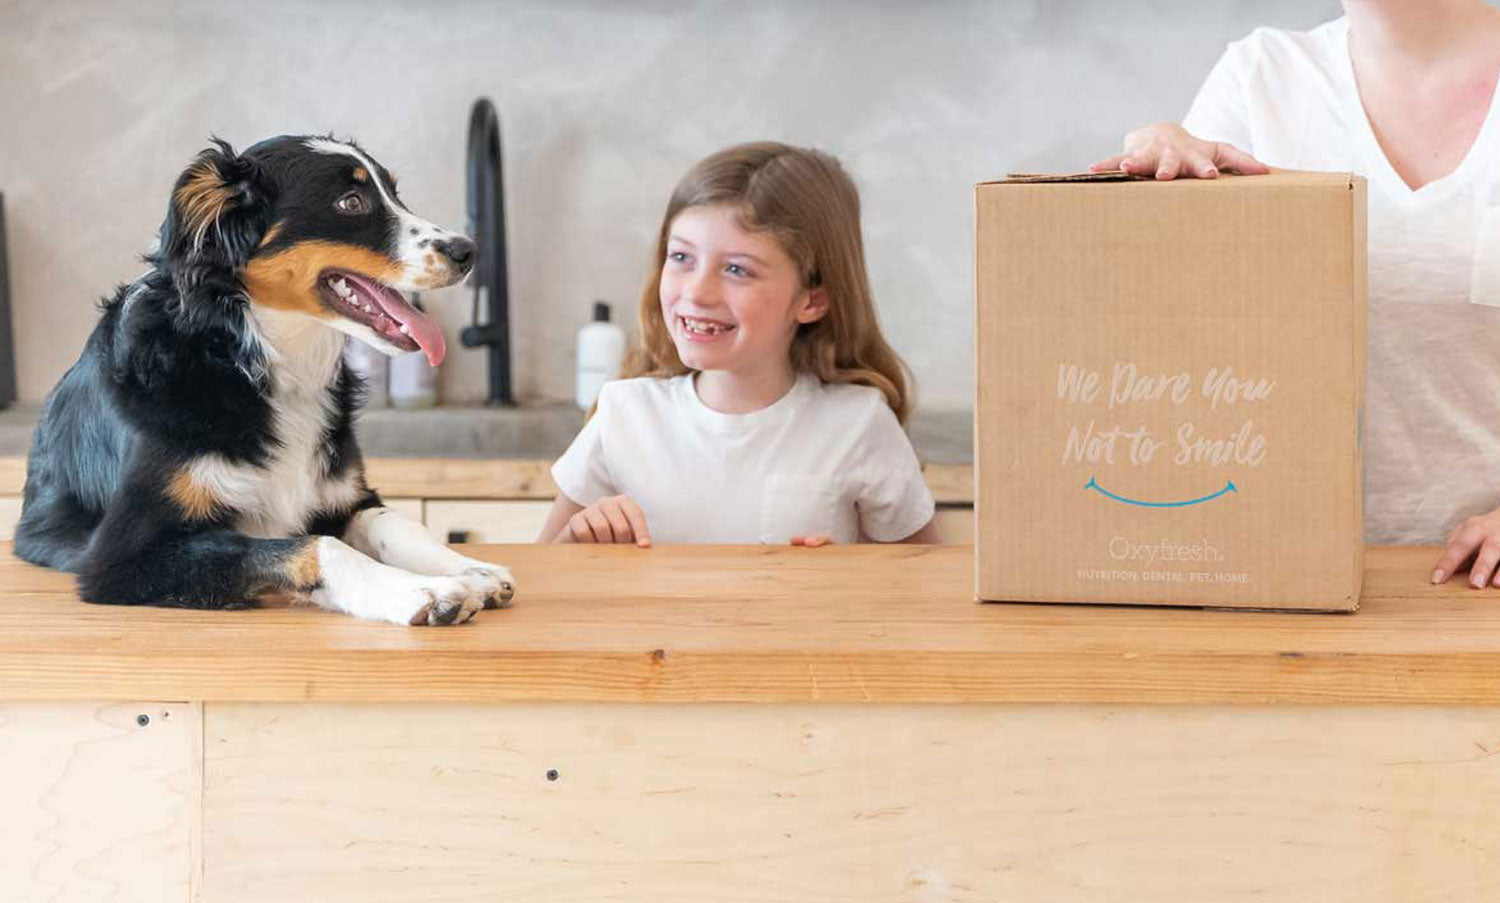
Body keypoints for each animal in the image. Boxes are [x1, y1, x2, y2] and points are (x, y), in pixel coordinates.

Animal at [11, 135, 519, 627]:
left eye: (395, 194)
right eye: (351, 202)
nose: (469, 251)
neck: (252, 362)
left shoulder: (345, 496)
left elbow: (394, 522)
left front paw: (469, 568)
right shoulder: (122, 557)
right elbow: (317, 545)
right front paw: (420, 591)